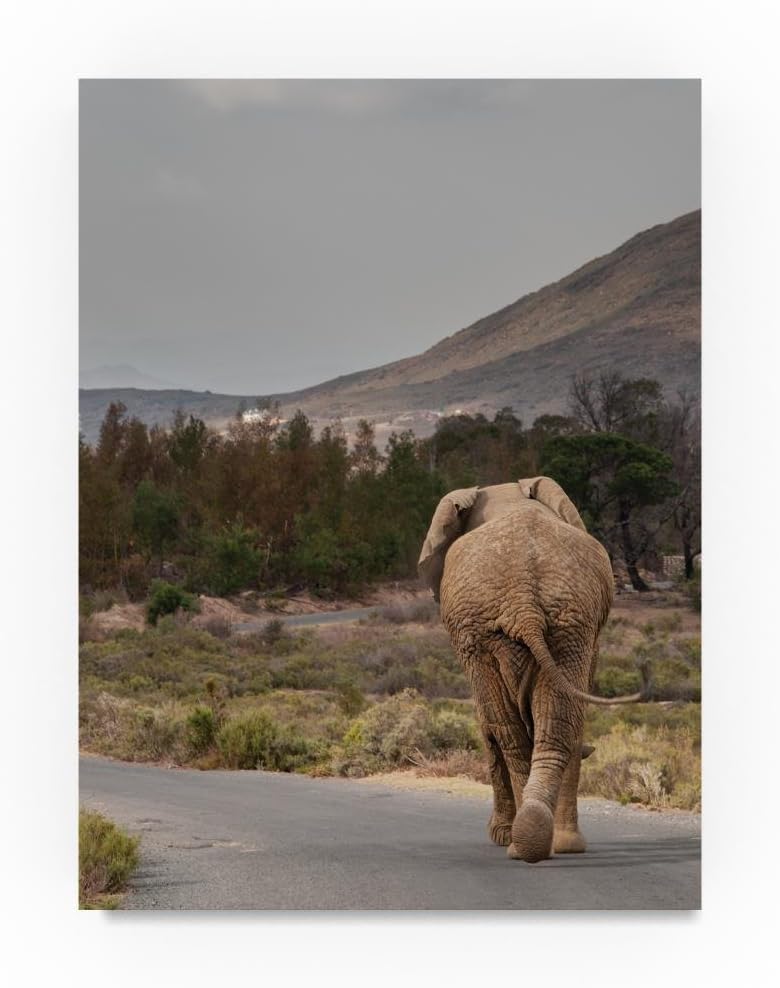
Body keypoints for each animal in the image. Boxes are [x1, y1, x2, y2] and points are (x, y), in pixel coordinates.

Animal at [418, 477, 642, 863]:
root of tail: (524, 603)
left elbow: (488, 726)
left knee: (509, 730)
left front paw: (499, 834)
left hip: (491, 629)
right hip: (569, 623)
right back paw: (547, 839)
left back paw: (521, 842)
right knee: (558, 726)